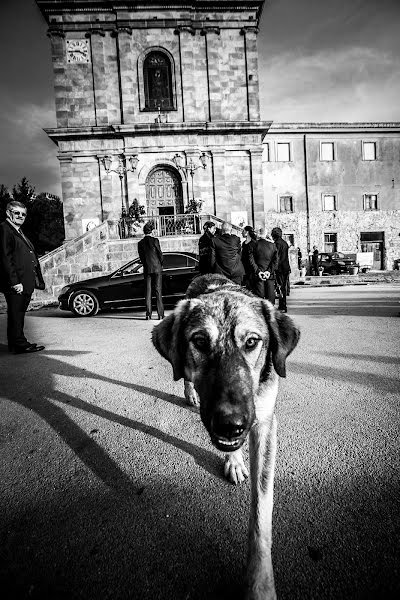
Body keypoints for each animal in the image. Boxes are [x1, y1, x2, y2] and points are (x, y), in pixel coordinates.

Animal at [153, 274, 300, 596]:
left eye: (252, 342)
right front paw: (233, 458)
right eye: (199, 341)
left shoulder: (264, 423)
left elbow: (261, 512)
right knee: (184, 376)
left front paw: (260, 584)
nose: (230, 424)